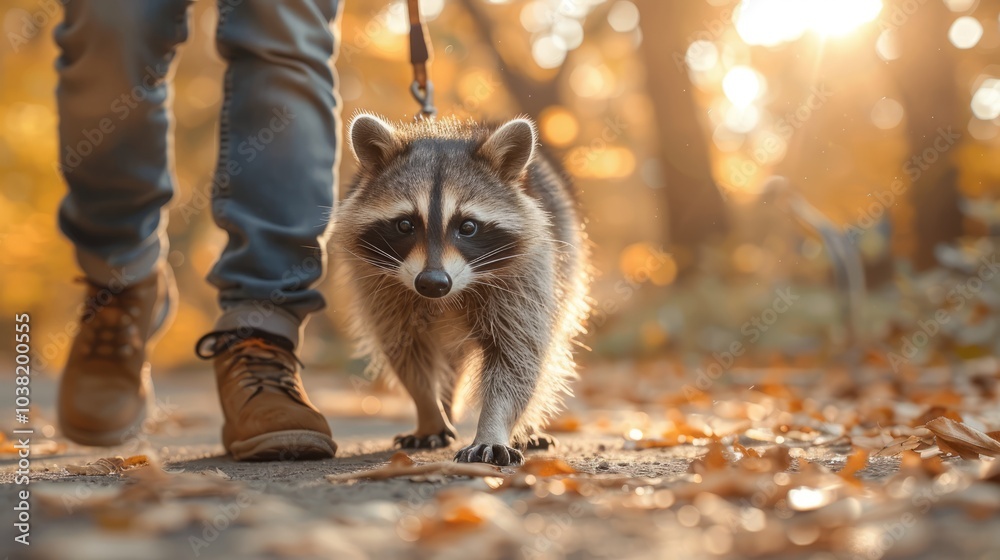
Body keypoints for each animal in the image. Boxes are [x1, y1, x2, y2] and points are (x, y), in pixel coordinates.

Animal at [333, 113, 589, 466]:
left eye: (468, 227)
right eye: (405, 225)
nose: (432, 282)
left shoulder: (526, 276)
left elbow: (518, 357)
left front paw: (494, 426)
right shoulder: (378, 283)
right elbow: (406, 353)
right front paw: (428, 409)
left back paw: (526, 429)